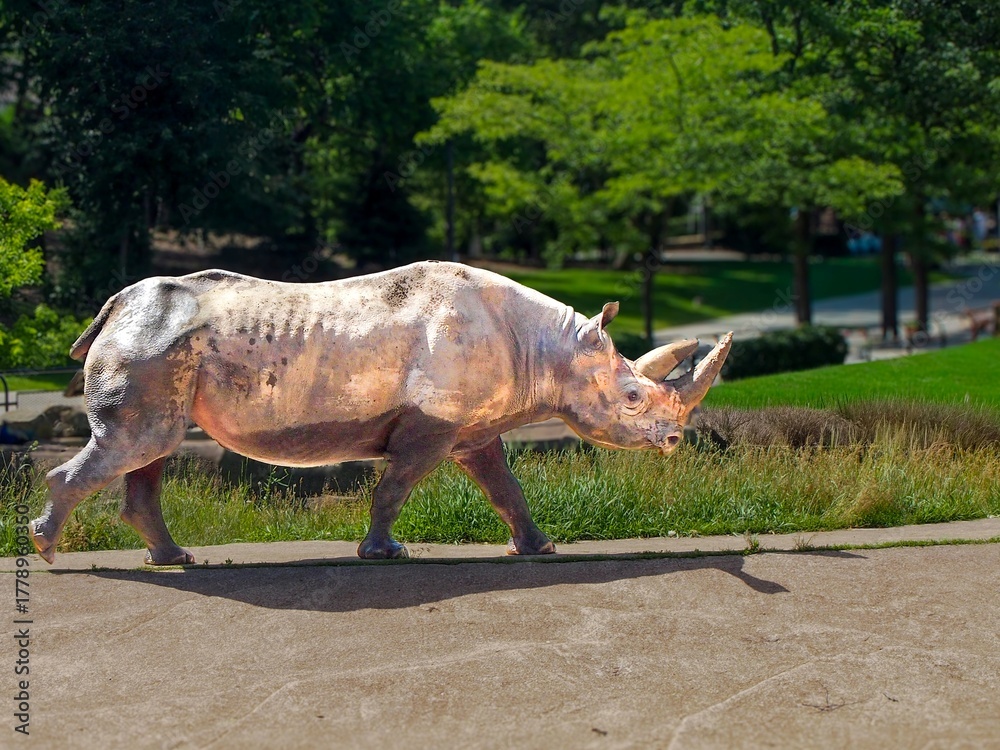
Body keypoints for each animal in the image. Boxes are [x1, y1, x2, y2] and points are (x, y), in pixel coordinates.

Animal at [30, 261, 731, 564]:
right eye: (633, 398)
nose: (675, 439)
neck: (549, 347)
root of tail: (114, 306)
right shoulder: (433, 422)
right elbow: (396, 486)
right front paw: (384, 554)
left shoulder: (470, 426)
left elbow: (505, 487)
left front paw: (540, 549)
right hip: (152, 343)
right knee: (142, 443)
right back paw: (47, 551)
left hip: (160, 348)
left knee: (152, 449)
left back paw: (172, 559)